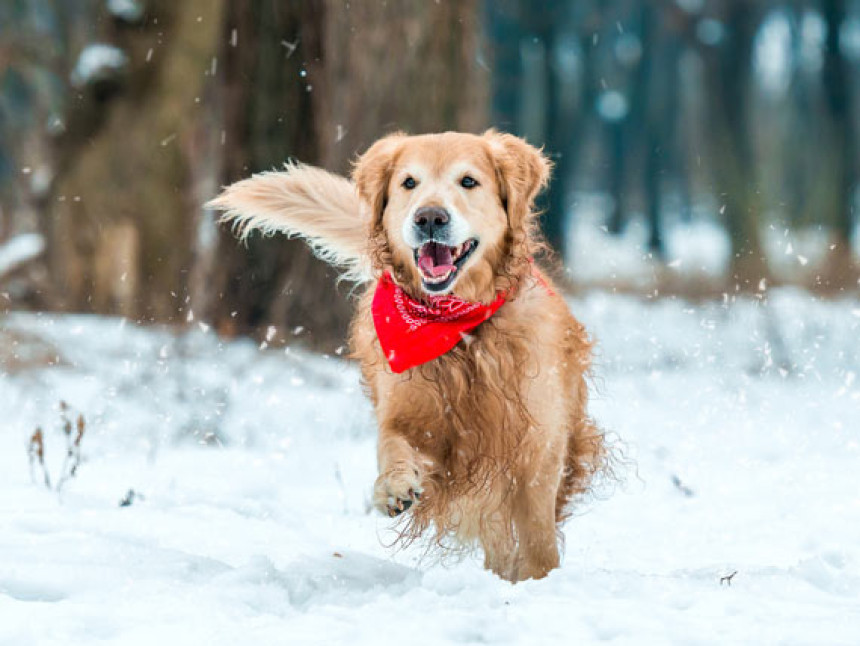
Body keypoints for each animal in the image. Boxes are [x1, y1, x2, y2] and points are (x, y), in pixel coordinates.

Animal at [210, 130, 604, 584]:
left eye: (468, 181)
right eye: (409, 183)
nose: (429, 218)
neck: (459, 329)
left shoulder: (537, 440)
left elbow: (536, 531)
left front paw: (540, 579)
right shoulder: (407, 408)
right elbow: (392, 442)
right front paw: (393, 488)